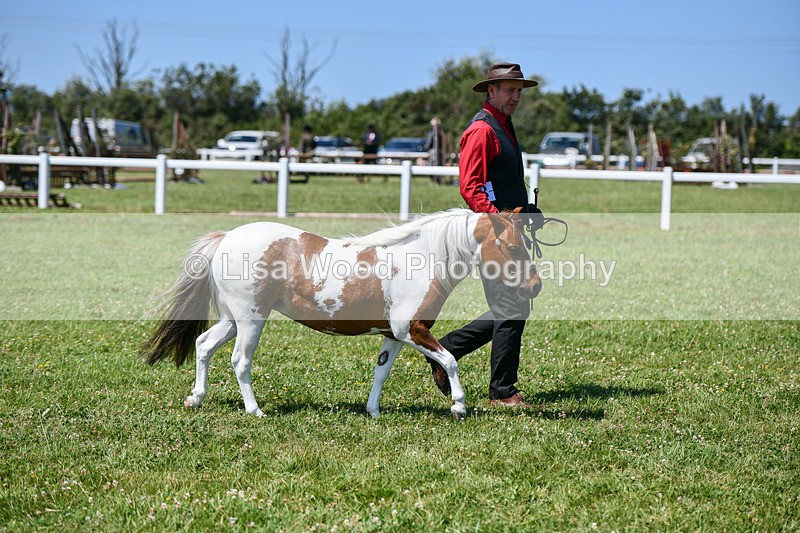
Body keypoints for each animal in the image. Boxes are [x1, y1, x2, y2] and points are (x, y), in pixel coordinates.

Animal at [140, 207, 542, 420]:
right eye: (510, 247)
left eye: (526, 244)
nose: (535, 286)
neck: (421, 259)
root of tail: (227, 237)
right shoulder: (411, 329)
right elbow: (450, 360)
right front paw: (458, 405)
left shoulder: (393, 335)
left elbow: (381, 372)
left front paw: (373, 411)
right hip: (251, 319)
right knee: (240, 360)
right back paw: (255, 411)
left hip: (231, 318)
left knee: (204, 345)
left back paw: (196, 398)